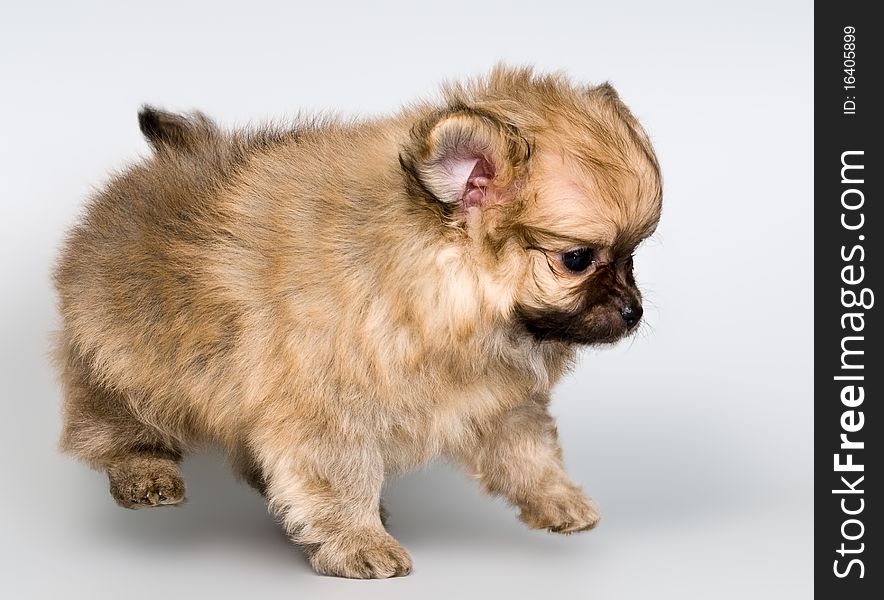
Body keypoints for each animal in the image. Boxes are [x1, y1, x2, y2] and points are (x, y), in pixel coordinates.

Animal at [51, 68, 660, 580]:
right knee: (113, 424)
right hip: (128, 360)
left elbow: (529, 451)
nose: (634, 310)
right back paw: (145, 472)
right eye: (578, 259)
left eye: (633, 256)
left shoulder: (498, 397)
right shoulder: (328, 407)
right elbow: (341, 476)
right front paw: (360, 543)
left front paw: (559, 499)